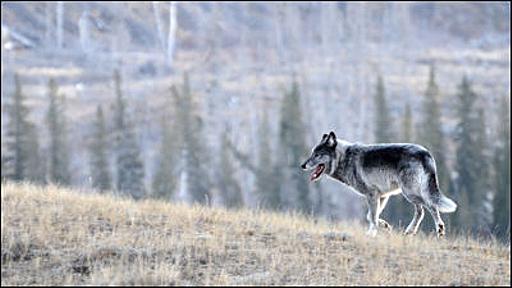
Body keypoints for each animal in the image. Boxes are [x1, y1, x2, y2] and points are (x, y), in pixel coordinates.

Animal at [300, 132, 456, 237]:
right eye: (312, 153)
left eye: (317, 155)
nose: (302, 165)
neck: (346, 159)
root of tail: (425, 153)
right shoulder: (382, 196)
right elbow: (370, 216)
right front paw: (384, 225)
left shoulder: (371, 195)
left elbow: (372, 217)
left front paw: (371, 233)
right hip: (411, 193)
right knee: (421, 211)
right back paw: (409, 231)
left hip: (410, 193)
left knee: (430, 206)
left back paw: (440, 229)